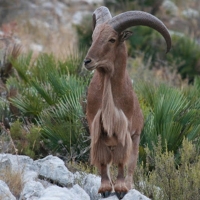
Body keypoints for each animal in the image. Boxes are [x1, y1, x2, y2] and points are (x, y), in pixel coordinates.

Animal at [83, 5, 171, 199]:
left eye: (112, 39)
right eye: (93, 37)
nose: (87, 61)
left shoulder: (126, 129)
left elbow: (123, 162)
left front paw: (121, 188)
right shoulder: (96, 127)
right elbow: (103, 161)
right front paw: (105, 188)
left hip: (136, 137)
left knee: (130, 163)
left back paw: (128, 185)